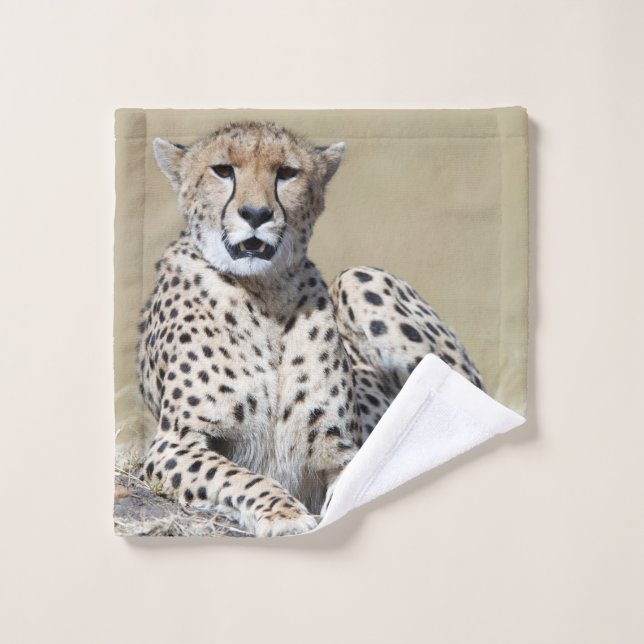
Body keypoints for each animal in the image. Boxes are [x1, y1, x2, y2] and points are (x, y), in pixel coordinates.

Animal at [136, 121, 483, 537]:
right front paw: (284, 514)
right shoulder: (175, 442)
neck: (264, 295)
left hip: (359, 277)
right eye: (222, 170)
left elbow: (356, 486)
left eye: (287, 173)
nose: (256, 213)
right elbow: (236, 476)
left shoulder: (344, 452)